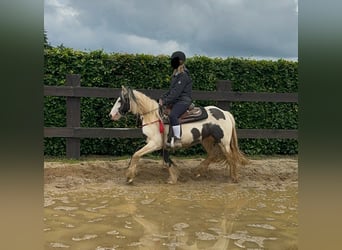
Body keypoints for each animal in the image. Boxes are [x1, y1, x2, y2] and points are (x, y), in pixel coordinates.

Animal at [108, 85, 247, 184]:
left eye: (120, 100)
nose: (111, 115)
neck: (153, 116)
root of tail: (225, 113)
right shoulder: (162, 145)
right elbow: (166, 160)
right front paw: (174, 177)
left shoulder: (154, 144)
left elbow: (136, 155)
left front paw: (129, 177)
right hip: (207, 140)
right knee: (213, 155)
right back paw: (197, 171)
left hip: (223, 142)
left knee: (230, 157)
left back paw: (234, 178)